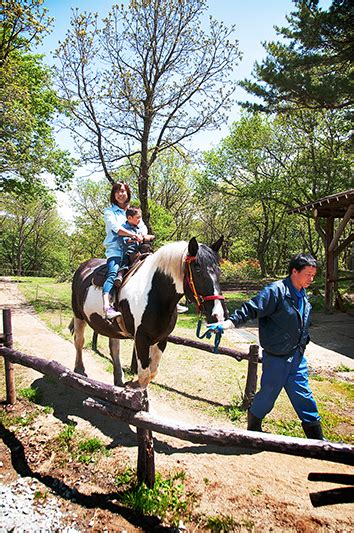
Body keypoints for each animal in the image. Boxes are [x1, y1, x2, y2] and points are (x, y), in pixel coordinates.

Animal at [70, 237, 228, 386]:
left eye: (219, 270)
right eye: (197, 270)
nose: (218, 315)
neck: (155, 294)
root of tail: (84, 266)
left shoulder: (161, 339)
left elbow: (152, 372)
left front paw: (131, 386)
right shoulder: (141, 338)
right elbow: (144, 375)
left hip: (112, 327)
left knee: (114, 348)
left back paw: (119, 380)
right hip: (78, 315)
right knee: (79, 341)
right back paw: (79, 370)